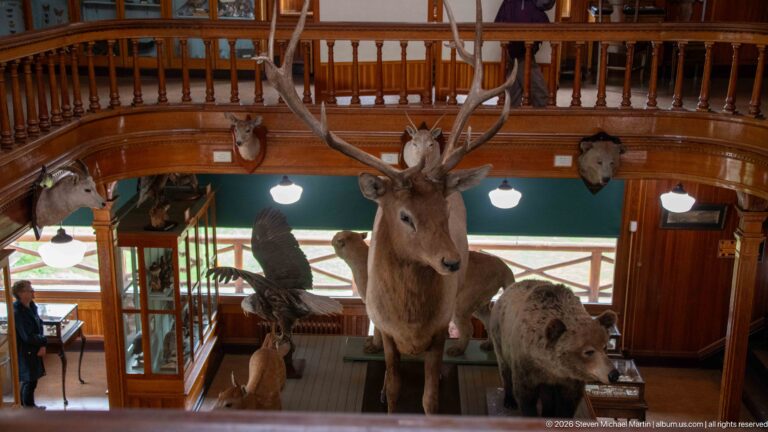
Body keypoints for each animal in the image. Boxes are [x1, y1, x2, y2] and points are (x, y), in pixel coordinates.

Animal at [256, 0, 516, 414]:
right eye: (405, 215)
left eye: (445, 211)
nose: (451, 262)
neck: (410, 322)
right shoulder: (387, 328)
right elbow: (393, 387)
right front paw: (386, 395)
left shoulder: (440, 329)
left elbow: (430, 397)